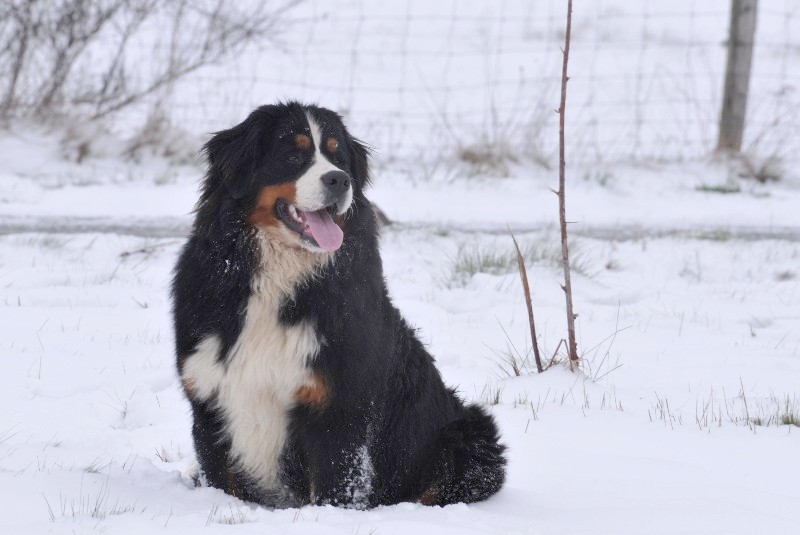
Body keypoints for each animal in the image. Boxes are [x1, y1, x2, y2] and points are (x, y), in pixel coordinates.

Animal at [172, 102, 506, 508]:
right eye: (293, 154)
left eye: (338, 157)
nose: (339, 180)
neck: (279, 279)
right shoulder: (209, 399)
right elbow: (220, 481)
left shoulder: (339, 408)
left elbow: (335, 489)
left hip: (470, 438)